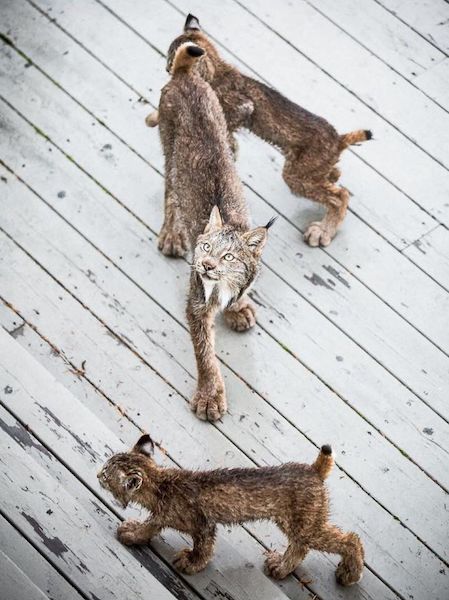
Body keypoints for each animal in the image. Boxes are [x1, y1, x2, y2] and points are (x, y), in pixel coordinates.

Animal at [98, 434, 364, 584]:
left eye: (106, 473)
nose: (97, 474)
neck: (159, 484)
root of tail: (312, 469)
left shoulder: (204, 524)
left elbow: (203, 548)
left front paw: (192, 563)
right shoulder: (163, 515)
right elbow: (151, 525)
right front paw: (134, 533)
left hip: (304, 523)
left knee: (349, 539)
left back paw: (349, 574)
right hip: (293, 521)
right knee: (300, 546)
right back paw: (281, 566)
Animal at [147, 15, 372, 247]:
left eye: (169, 60)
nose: (167, 68)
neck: (217, 65)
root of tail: (339, 139)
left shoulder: (242, 106)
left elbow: (226, 122)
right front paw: (154, 117)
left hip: (296, 175)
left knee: (340, 196)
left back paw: (324, 230)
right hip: (309, 170)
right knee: (334, 178)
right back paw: (333, 178)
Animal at [158, 41, 272, 422]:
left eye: (229, 256)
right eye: (205, 248)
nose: (205, 266)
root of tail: (186, 77)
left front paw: (239, 307)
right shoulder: (196, 303)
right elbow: (204, 352)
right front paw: (210, 397)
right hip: (170, 150)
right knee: (171, 190)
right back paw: (172, 235)